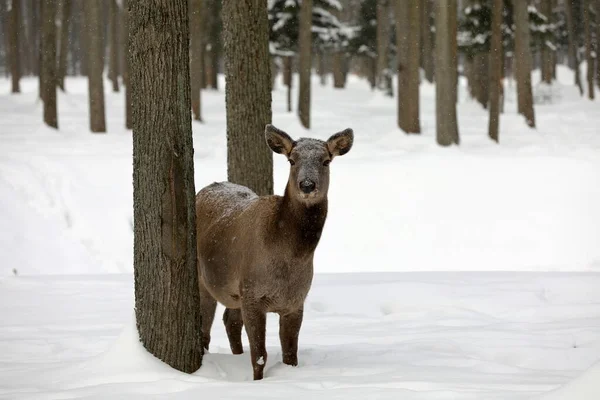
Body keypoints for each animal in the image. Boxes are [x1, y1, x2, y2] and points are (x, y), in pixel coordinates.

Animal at [195, 123, 354, 380]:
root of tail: (205, 188)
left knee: (230, 320)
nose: (307, 185)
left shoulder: (295, 301)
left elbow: (290, 355)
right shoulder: (252, 294)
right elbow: (259, 355)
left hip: (234, 292)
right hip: (205, 280)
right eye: (291, 160)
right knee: (205, 331)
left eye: (326, 160)